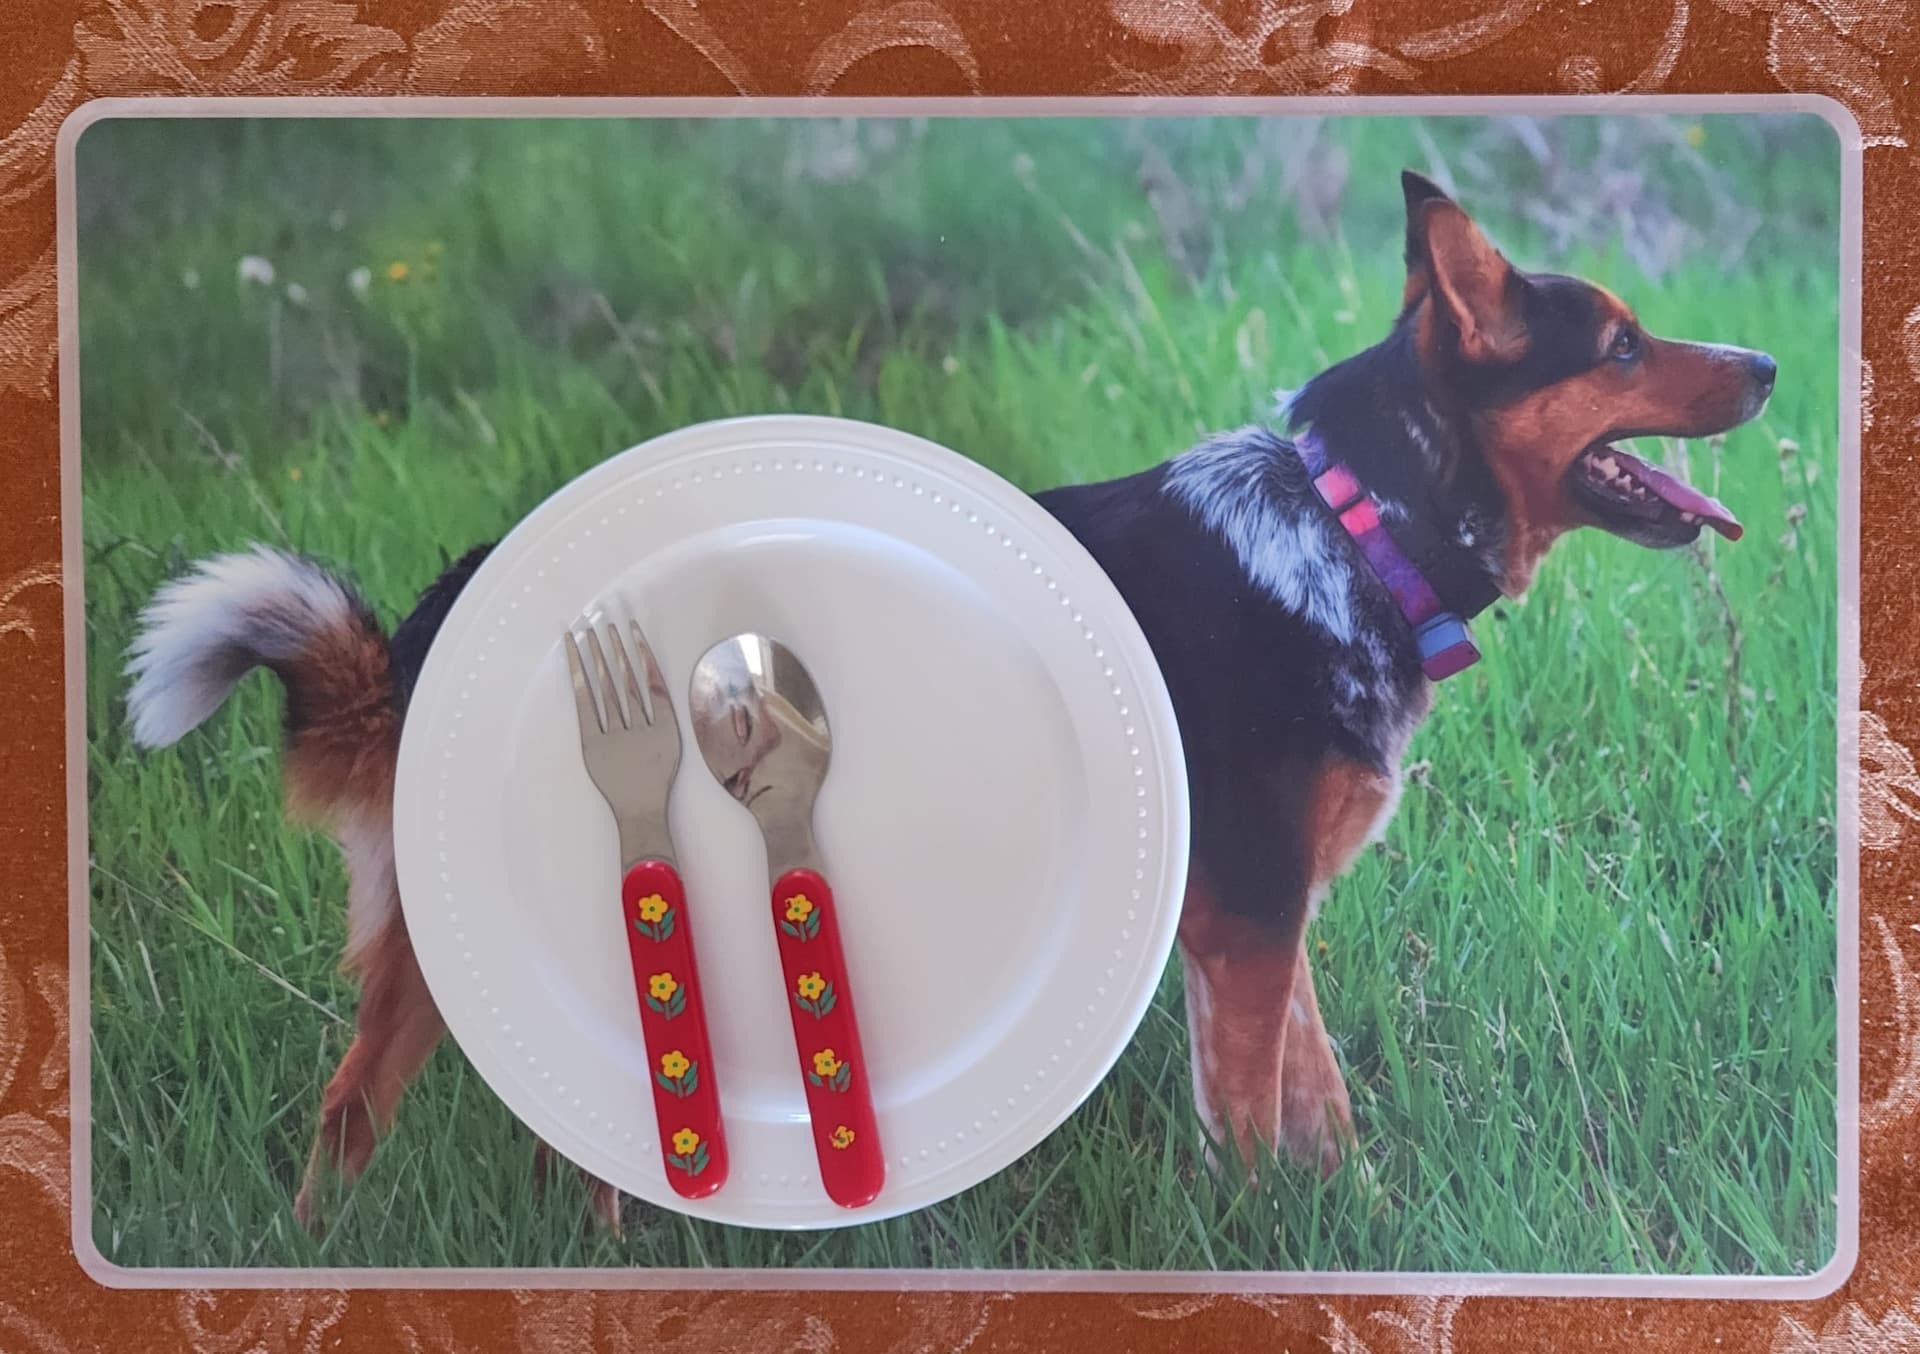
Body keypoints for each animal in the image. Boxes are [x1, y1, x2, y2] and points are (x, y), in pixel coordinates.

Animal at [116, 166, 1766, 1213]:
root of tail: (443, 603)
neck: (1353, 523)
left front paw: (1341, 1215)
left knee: (368, 1116)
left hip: (459, 955)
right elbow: (1257, 1111)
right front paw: (1271, 1244)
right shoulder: (1247, 912)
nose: (1759, 362)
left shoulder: (1263, 911)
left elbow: (1317, 1095)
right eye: (1623, 342)